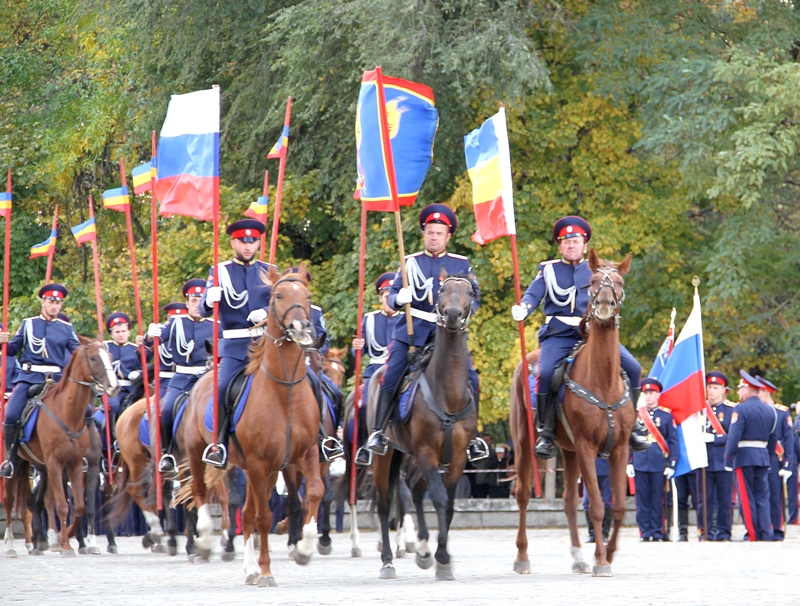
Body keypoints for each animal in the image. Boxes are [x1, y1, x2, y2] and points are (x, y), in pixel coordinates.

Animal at [0, 340, 119, 560]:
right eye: (94, 358)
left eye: (110, 357)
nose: (114, 386)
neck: (68, 413)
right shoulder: (57, 465)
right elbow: (63, 505)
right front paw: (66, 545)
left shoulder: (80, 466)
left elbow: (81, 507)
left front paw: (78, 541)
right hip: (15, 465)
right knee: (10, 501)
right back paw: (12, 545)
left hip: (39, 467)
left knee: (34, 502)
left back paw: (39, 543)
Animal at [182, 268, 324, 588]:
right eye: (278, 296)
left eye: (307, 295)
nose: (301, 327)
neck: (284, 391)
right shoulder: (259, 464)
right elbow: (264, 518)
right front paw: (267, 571)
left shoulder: (305, 454)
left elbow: (314, 493)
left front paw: (304, 549)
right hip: (201, 453)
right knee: (201, 491)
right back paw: (206, 541)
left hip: (261, 471)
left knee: (245, 513)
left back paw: (249, 568)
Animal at [368, 268, 476, 580]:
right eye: (442, 291)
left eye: (470, 292)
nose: (452, 314)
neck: (448, 392)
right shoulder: (427, 451)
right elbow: (438, 497)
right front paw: (442, 555)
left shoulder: (458, 456)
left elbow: (449, 505)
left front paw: (441, 558)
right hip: (388, 455)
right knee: (384, 504)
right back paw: (388, 560)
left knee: (413, 490)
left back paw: (423, 549)